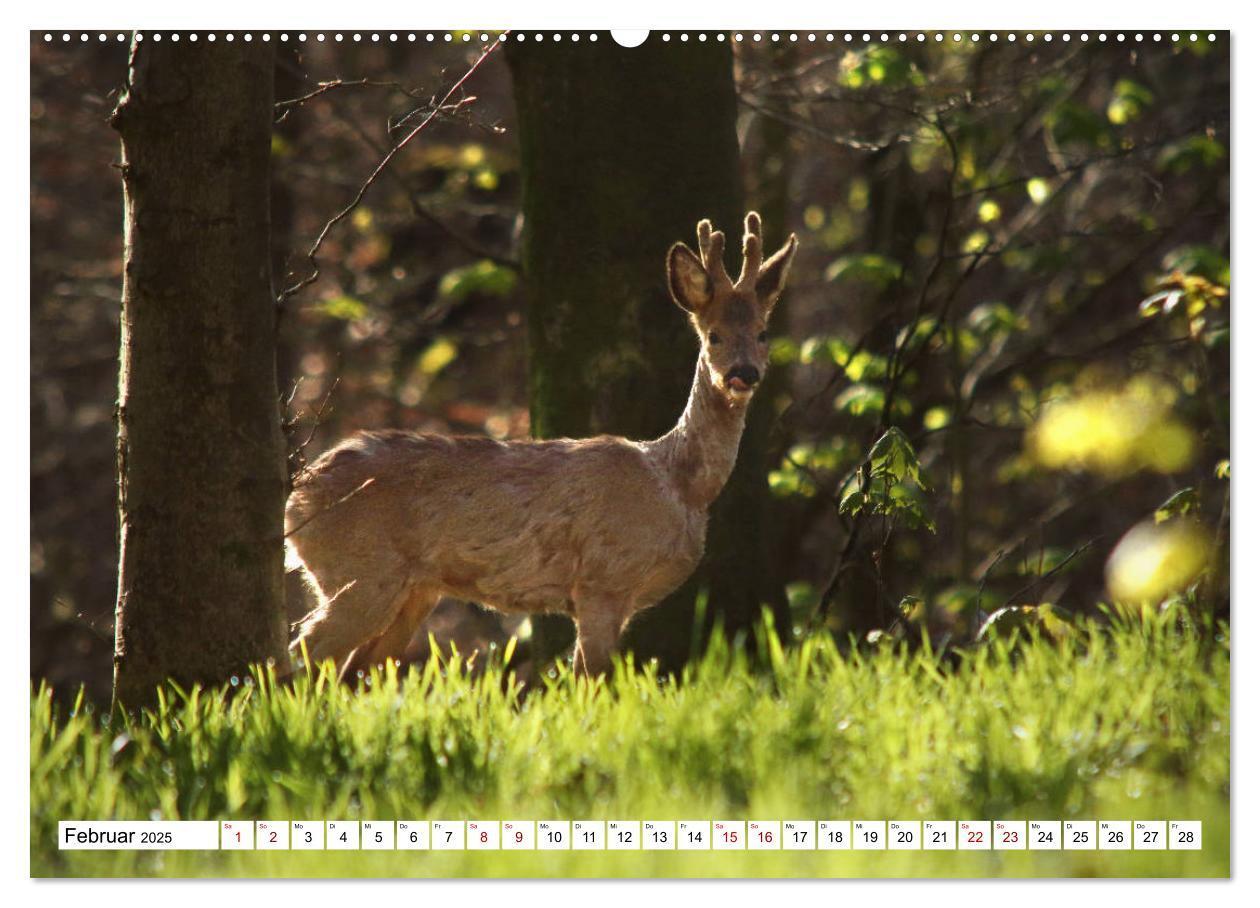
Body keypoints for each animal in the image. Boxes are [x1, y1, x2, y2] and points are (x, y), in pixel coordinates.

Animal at [286, 212, 796, 675]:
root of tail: (298, 498)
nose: (743, 374)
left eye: (763, 333)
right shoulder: (603, 578)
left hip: (414, 589)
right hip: (360, 571)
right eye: (714, 335)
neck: (678, 484)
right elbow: (590, 680)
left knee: (357, 669)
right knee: (301, 650)